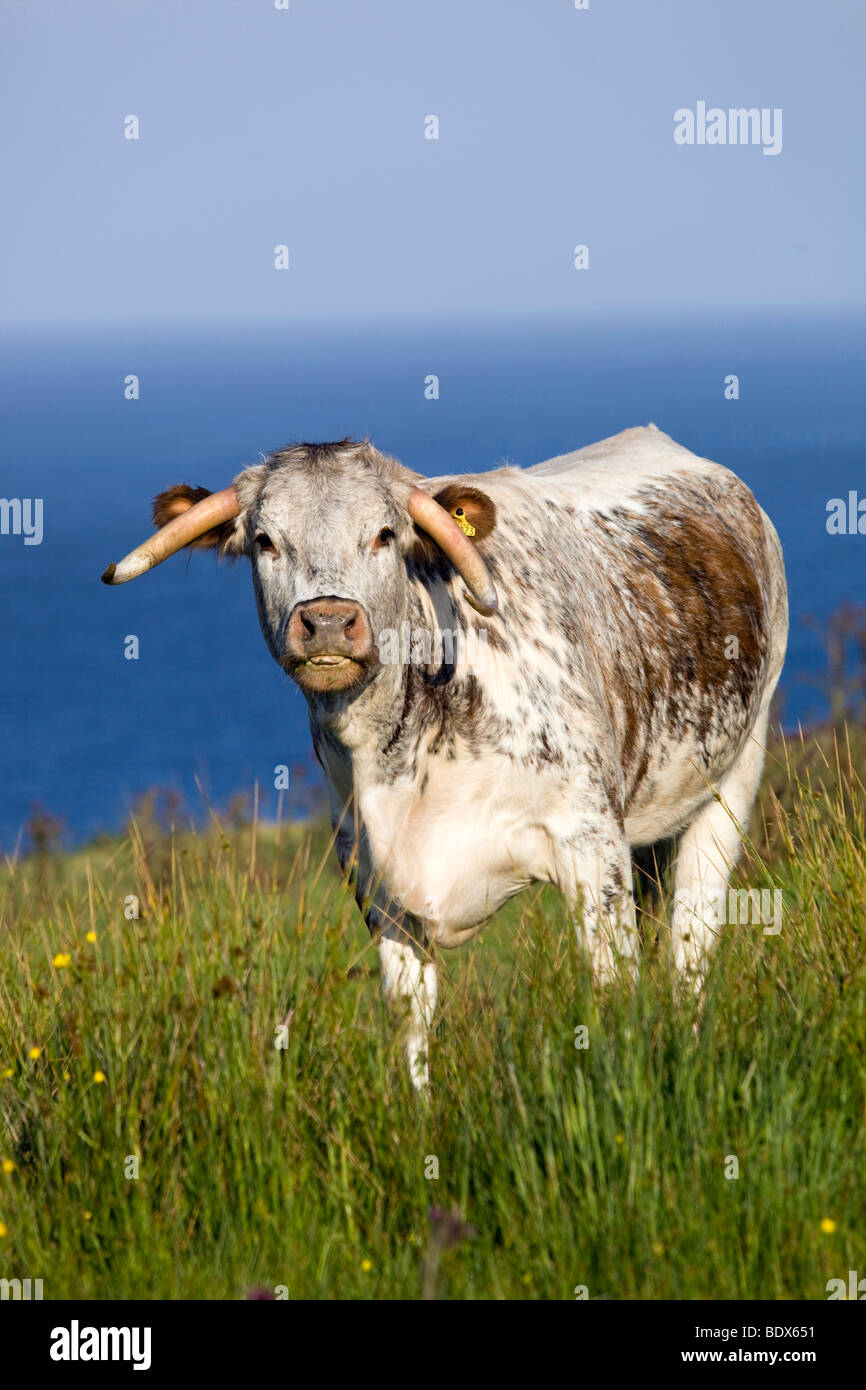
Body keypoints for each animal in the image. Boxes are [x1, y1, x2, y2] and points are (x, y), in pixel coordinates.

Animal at [101, 422, 783, 1084]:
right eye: (266, 540)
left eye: (384, 534)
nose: (327, 622)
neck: (398, 759)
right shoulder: (376, 887)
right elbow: (411, 1027)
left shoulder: (591, 848)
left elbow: (615, 992)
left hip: (733, 776)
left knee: (691, 946)